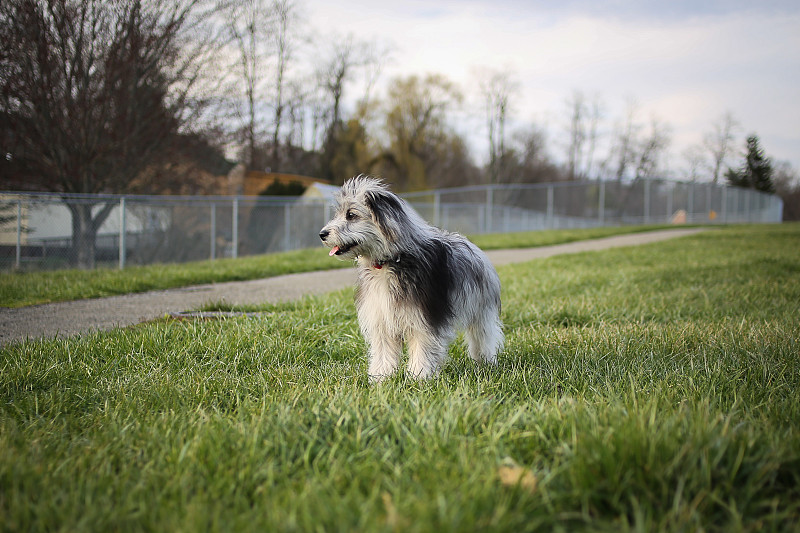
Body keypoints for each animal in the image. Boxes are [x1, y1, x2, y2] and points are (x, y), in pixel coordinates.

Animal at [318, 177, 500, 380]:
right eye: (339, 214)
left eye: (351, 215)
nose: (322, 234)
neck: (387, 263)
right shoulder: (381, 316)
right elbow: (383, 351)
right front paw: (381, 377)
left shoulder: (423, 319)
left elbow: (422, 349)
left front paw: (418, 377)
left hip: (480, 309)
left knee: (482, 336)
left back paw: (485, 362)